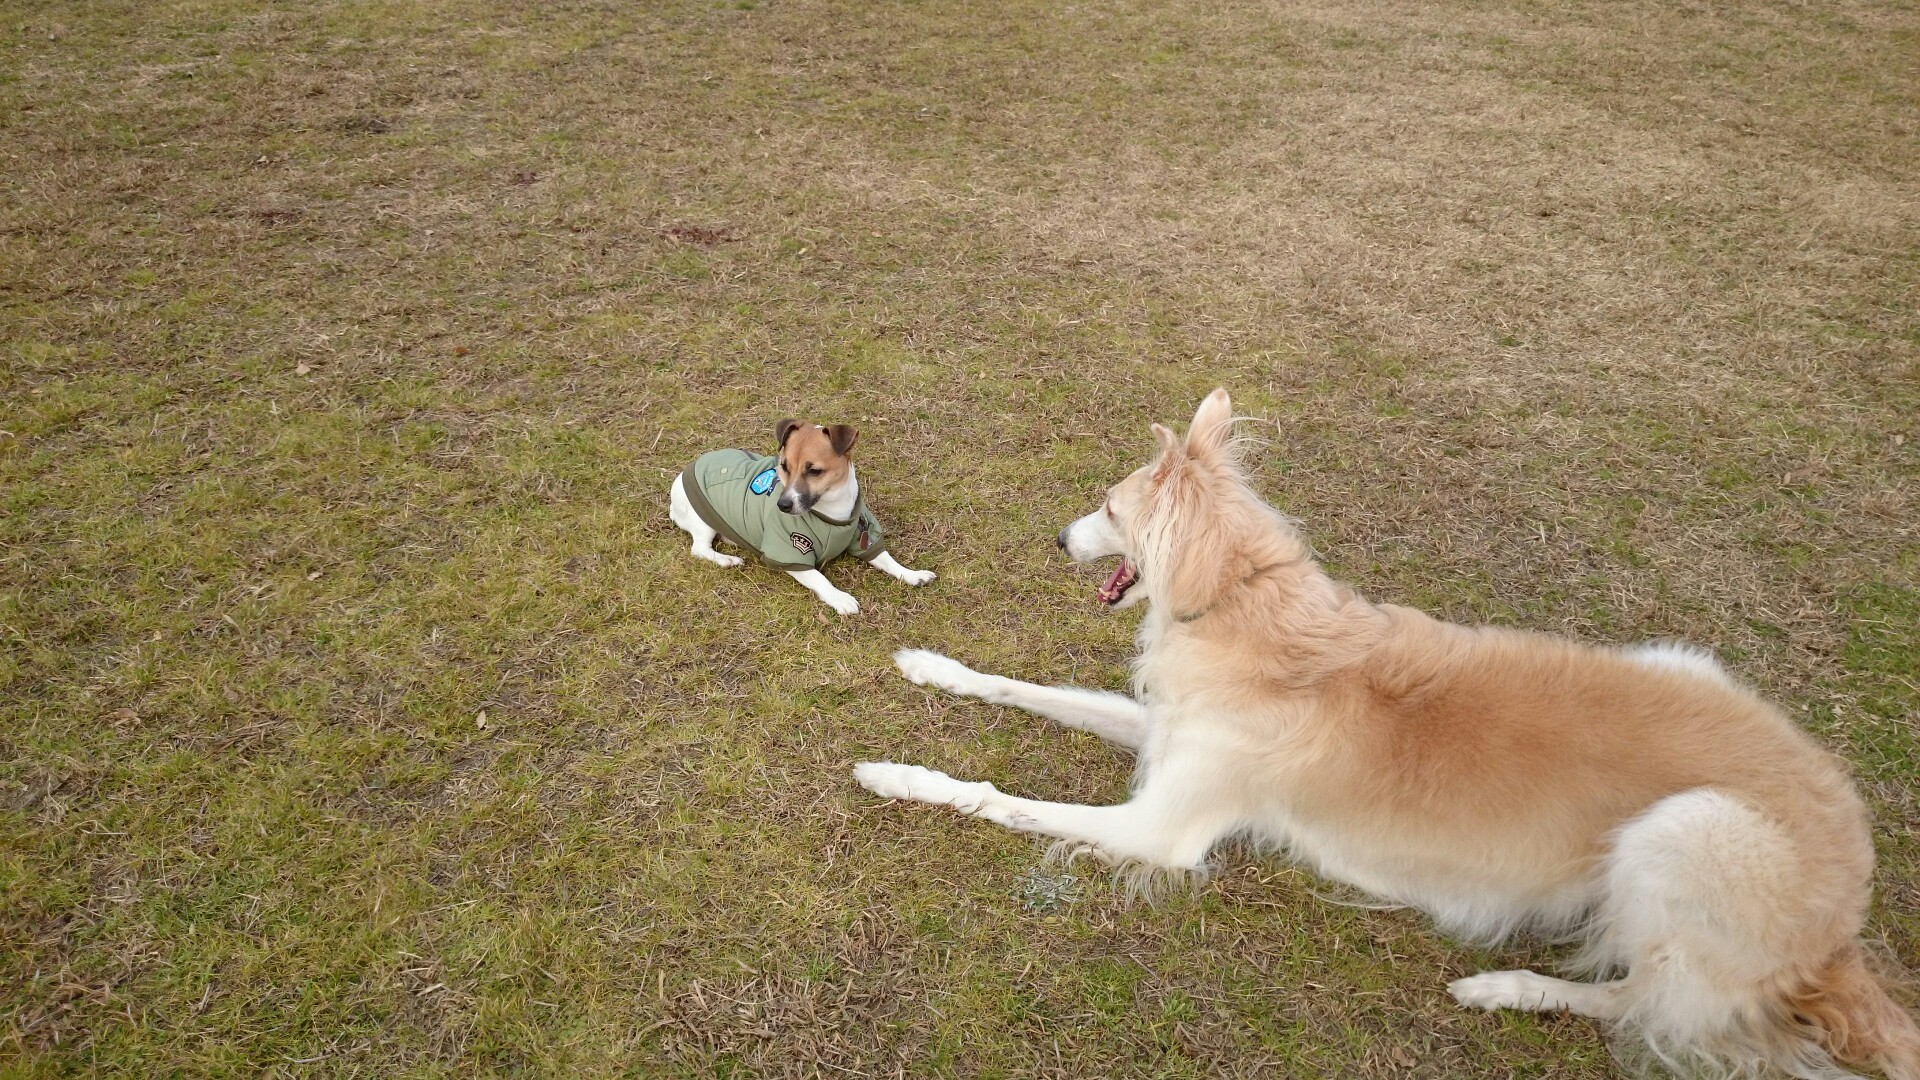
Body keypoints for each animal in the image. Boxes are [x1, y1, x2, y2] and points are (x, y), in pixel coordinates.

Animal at [670, 418, 934, 614]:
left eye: (814, 471)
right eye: (784, 466)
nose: (783, 505)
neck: (831, 512)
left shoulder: (863, 535)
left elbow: (888, 560)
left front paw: (913, 575)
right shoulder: (790, 552)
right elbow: (819, 579)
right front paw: (840, 598)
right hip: (702, 519)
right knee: (699, 548)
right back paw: (726, 560)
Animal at [855, 389, 1918, 1078]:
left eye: (1108, 508)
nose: (1057, 539)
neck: (1249, 609)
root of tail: (1842, 935)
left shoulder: (1164, 829)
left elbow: (993, 797)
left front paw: (893, 773)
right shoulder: (1165, 736)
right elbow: (1020, 684)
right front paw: (932, 668)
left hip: (1685, 832)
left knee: (1643, 1002)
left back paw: (1506, 989)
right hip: (1678, 661)